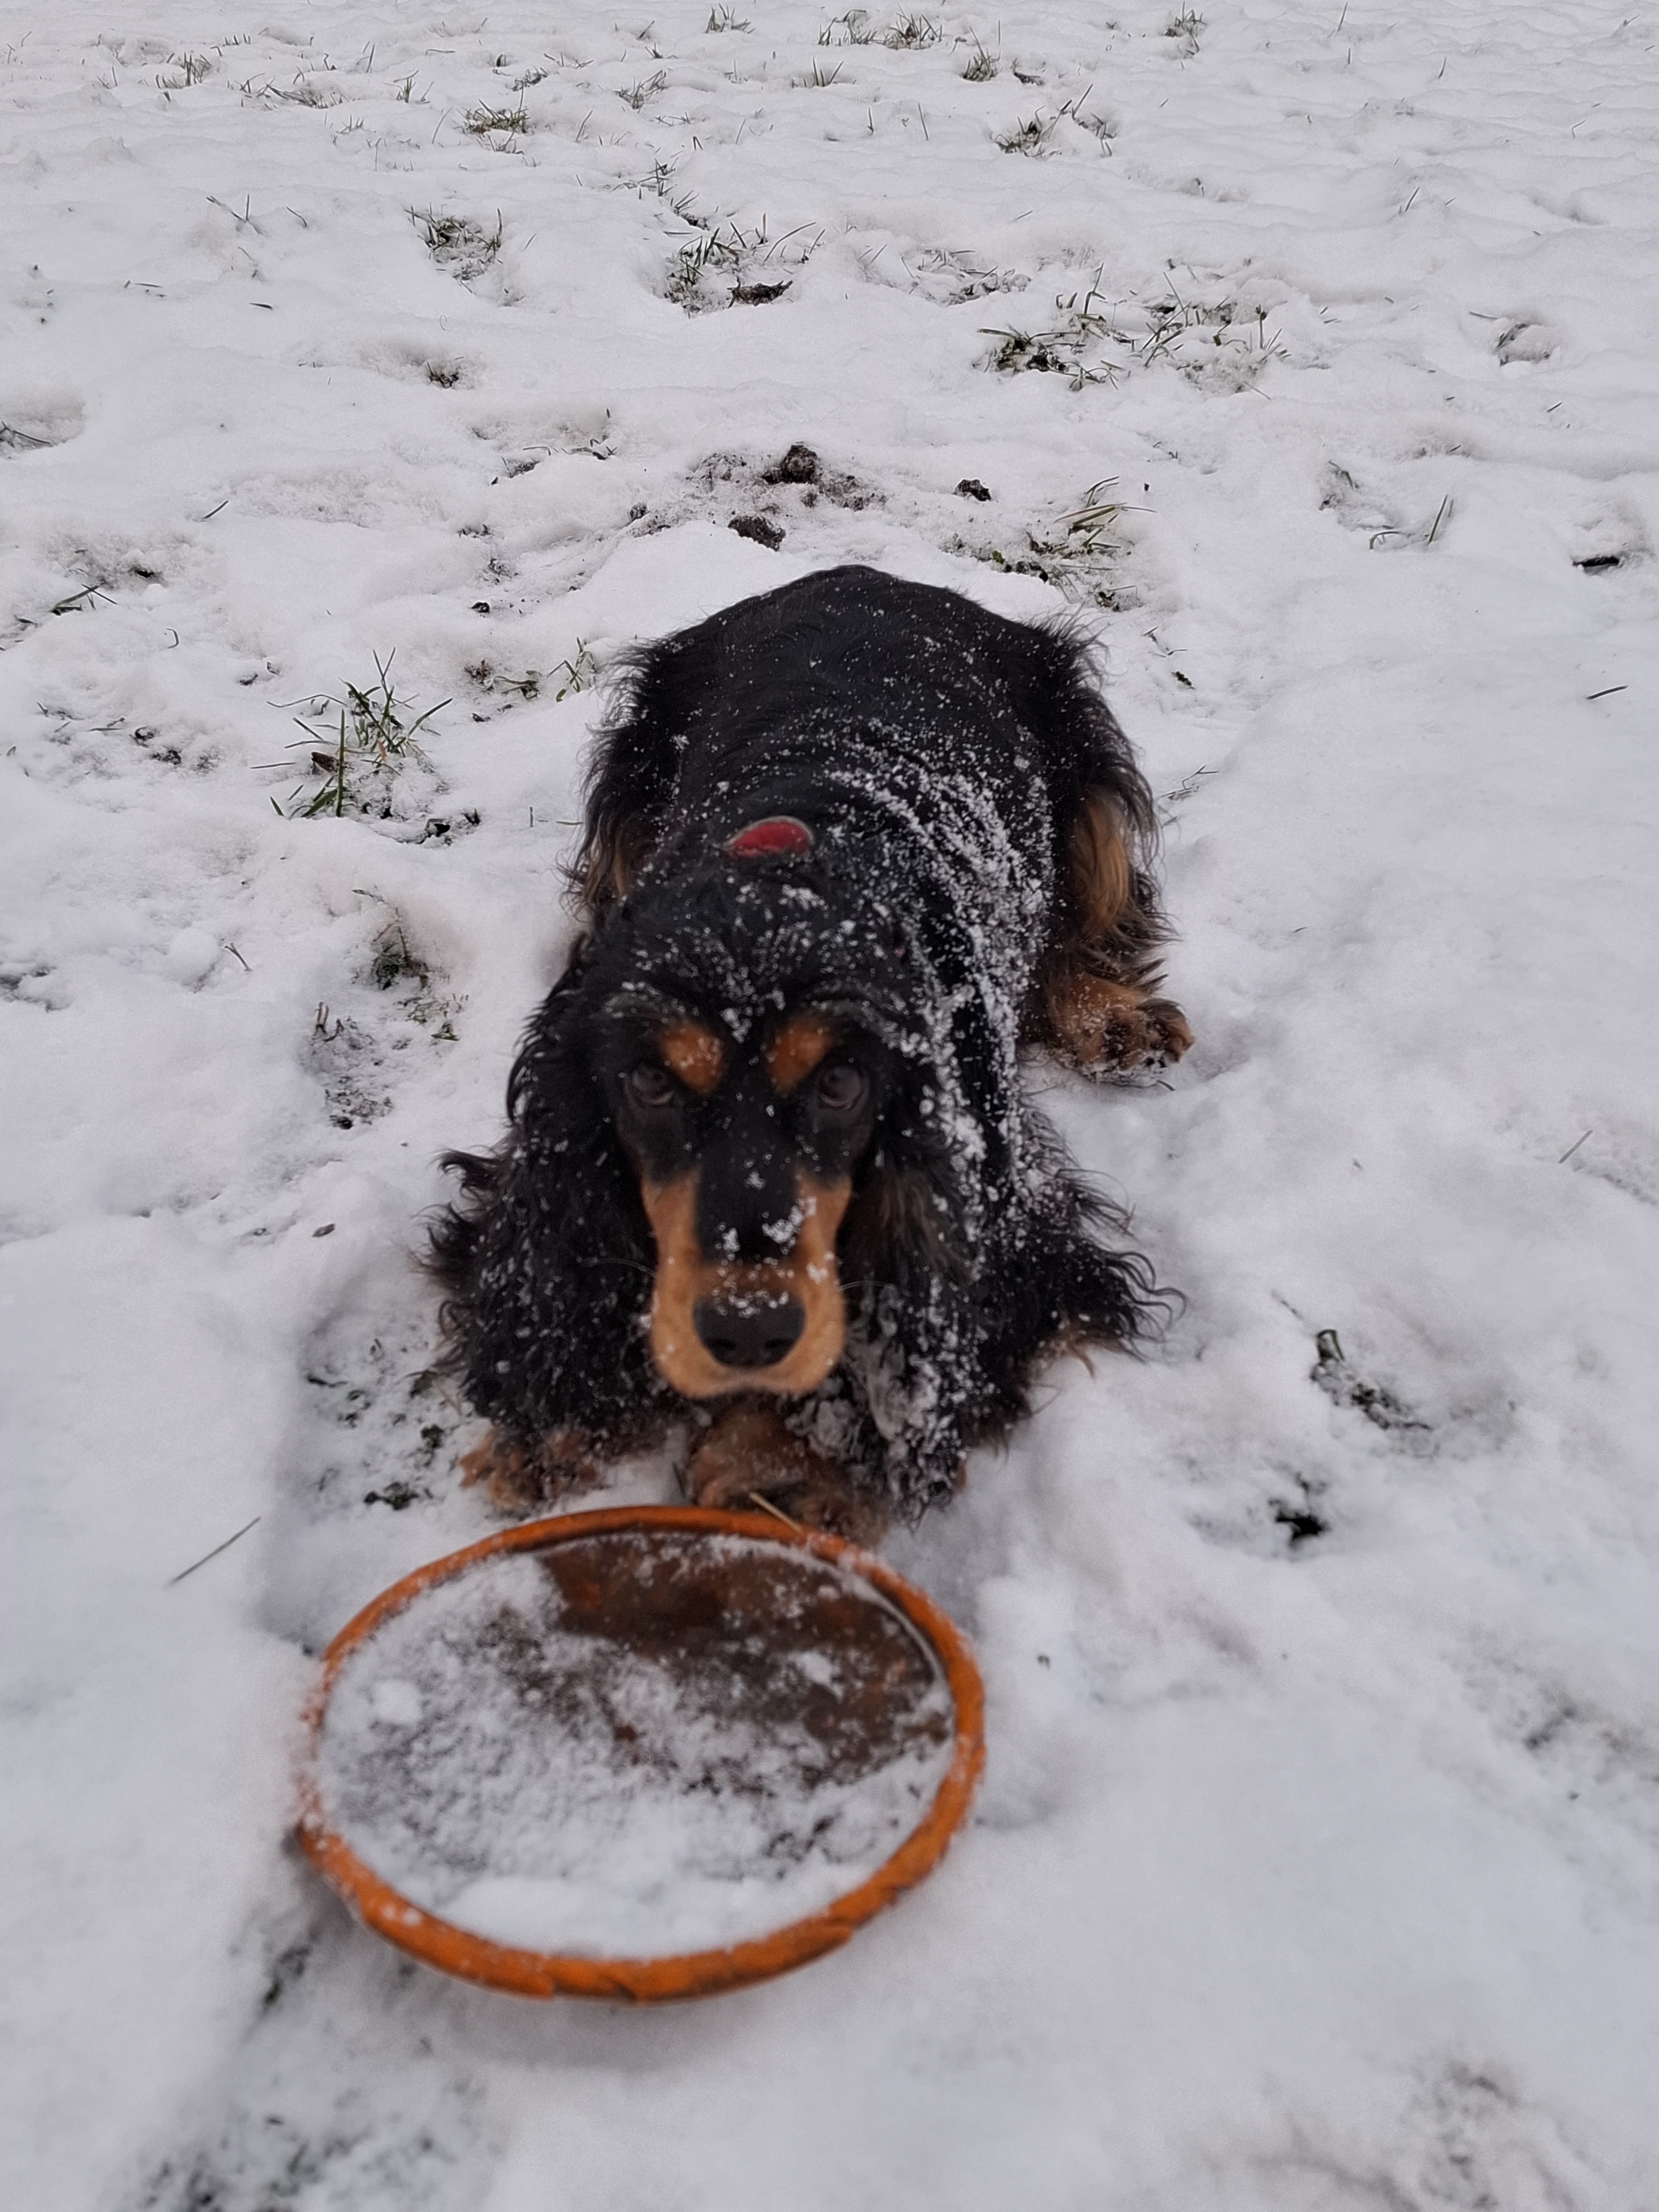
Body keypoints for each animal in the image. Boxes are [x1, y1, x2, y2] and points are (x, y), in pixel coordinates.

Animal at [431, 565, 1190, 1538]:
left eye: (839, 1086)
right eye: (648, 1082)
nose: (750, 1330)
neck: (797, 868)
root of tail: (866, 574)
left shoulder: (1007, 1216)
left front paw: (784, 1462)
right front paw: (553, 1424)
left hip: (1082, 750)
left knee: (1095, 910)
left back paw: (1111, 1013)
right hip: (631, 773)